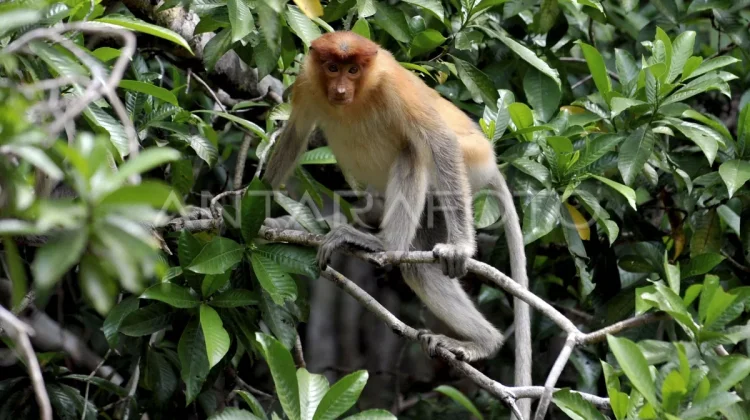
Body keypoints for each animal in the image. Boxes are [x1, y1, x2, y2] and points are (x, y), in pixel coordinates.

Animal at [262, 31, 530, 389]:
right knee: (419, 267)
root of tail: (491, 161)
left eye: (354, 70)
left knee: (414, 150)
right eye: (332, 68)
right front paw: (246, 207)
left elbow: (439, 141)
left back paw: (384, 245)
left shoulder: (394, 87)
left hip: (470, 160)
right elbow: (294, 135)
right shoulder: (307, 83)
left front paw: (459, 249)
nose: (341, 91)